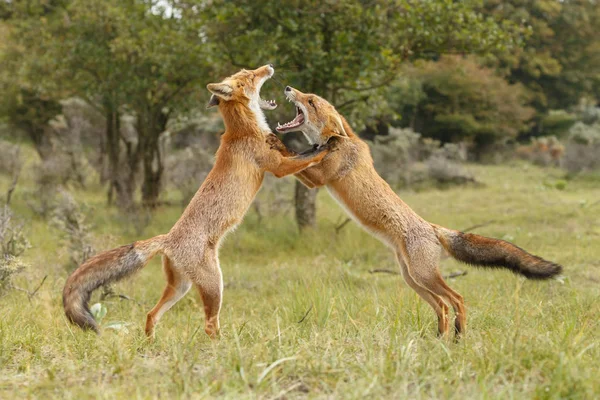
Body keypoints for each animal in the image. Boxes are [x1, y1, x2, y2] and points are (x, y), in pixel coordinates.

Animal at [62, 65, 330, 338]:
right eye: (251, 76)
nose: (269, 66)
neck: (244, 129)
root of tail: (168, 239)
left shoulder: (282, 157)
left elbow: (300, 155)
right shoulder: (277, 167)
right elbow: (307, 158)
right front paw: (326, 147)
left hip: (181, 287)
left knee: (150, 314)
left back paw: (150, 344)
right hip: (214, 285)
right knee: (210, 325)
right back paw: (224, 346)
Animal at [272, 86, 564, 338]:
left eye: (311, 101)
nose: (288, 88)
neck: (341, 141)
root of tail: (433, 228)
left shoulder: (320, 178)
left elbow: (296, 158)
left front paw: (278, 142)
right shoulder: (314, 179)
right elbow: (296, 159)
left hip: (423, 276)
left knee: (457, 299)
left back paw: (458, 335)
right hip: (412, 279)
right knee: (442, 306)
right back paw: (440, 338)